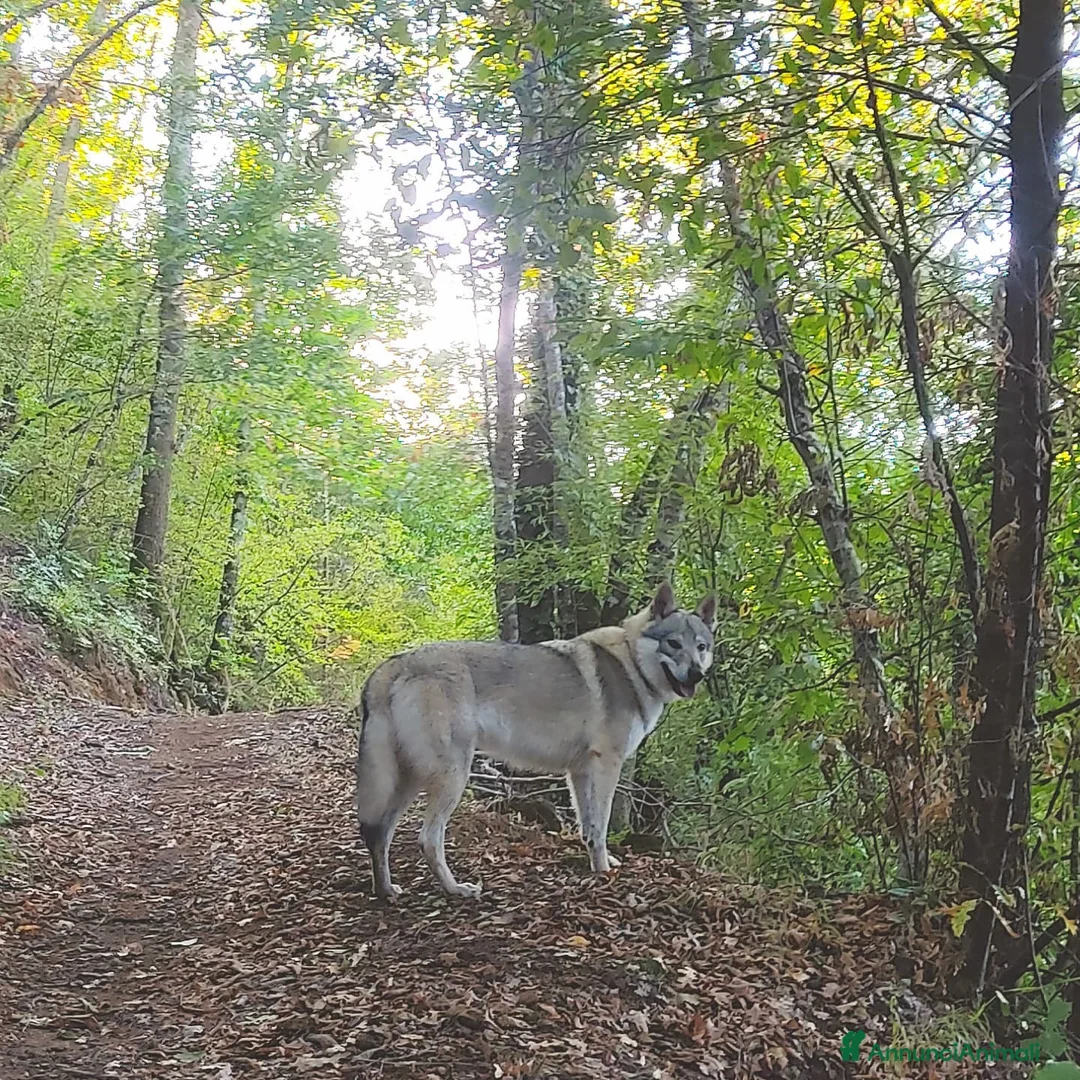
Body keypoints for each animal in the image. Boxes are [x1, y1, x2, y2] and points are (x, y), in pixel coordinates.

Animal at [354, 582, 715, 901]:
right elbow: (601, 827)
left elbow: (588, 828)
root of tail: (391, 666)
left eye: (701, 647)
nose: (697, 674)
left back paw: (386, 891)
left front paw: (599, 864)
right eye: (673, 644)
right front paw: (603, 871)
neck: (632, 665)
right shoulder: (606, 766)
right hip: (452, 778)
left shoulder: (580, 772)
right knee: (427, 839)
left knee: (378, 832)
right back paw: (456, 889)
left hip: (409, 780)